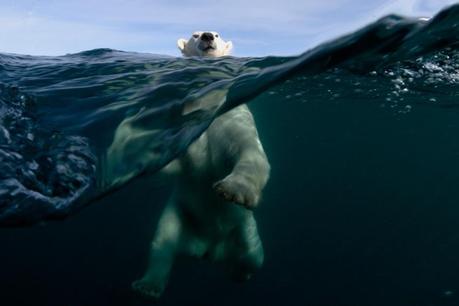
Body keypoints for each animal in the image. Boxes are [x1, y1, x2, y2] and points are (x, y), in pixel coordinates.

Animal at [131, 31, 270, 298]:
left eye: (217, 34)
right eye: (194, 35)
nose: (206, 36)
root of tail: (209, 249)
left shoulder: (231, 117)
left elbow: (249, 150)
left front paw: (234, 190)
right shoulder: (183, 123)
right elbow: (173, 164)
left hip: (244, 228)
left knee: (253, 255)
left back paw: (238, 272)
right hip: (179, 214)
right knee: (162, 243)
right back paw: (147, 285)